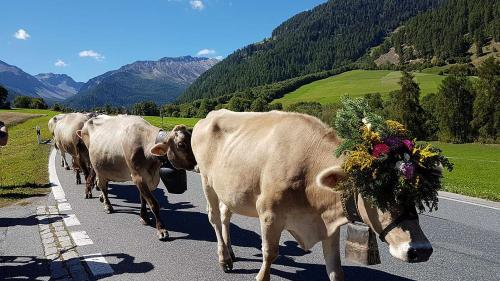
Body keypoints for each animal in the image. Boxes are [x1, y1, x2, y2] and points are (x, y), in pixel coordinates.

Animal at [193, 104, 452, 278]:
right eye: (376, 192)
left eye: (416, 196)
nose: (421, 251)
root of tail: (211, 115)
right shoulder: (268, 214)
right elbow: (270, 254)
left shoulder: (329, 224)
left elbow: (335, 268)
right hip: (207, 181)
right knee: (214, 217)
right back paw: (224, 258)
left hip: (229, 189)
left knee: (226, 215)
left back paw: (231, 252)